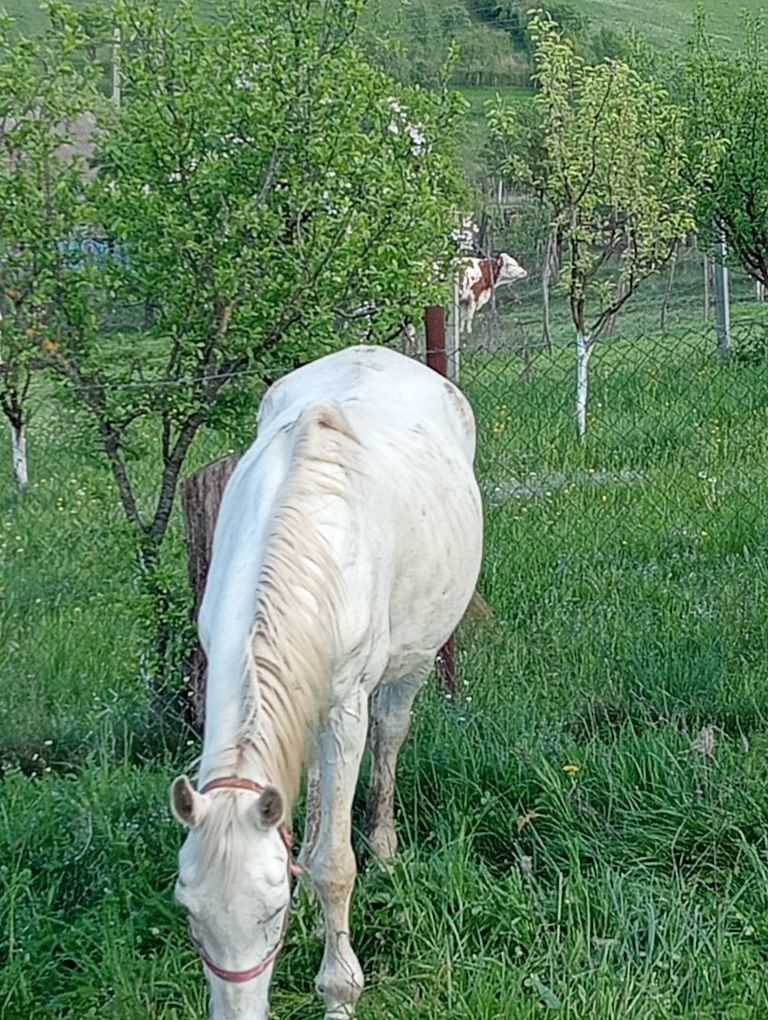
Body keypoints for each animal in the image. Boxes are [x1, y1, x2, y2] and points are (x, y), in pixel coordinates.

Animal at [169, 344, 479, 1020]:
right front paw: (310, 899)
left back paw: (384, 849)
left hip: (412, 664)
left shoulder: (346, 708)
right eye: (190, 917)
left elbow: (336, 863)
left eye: (270, 914)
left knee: (390, 736)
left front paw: (339, 991)